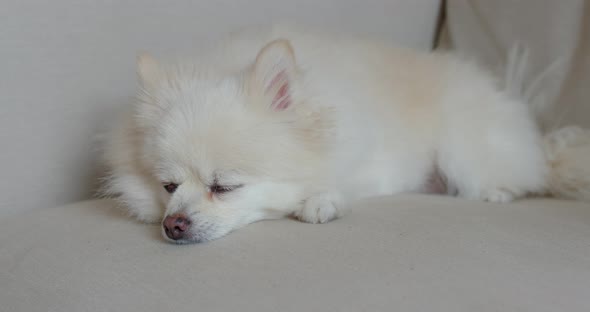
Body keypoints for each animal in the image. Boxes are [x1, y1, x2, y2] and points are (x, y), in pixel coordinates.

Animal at [102, 25, 590, 244]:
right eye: (168, 187)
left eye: (224, 187)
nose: (173, 225)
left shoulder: (376, 161)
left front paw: (321, 201)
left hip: (462, 148)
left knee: (520, 173)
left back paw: (498, 191)